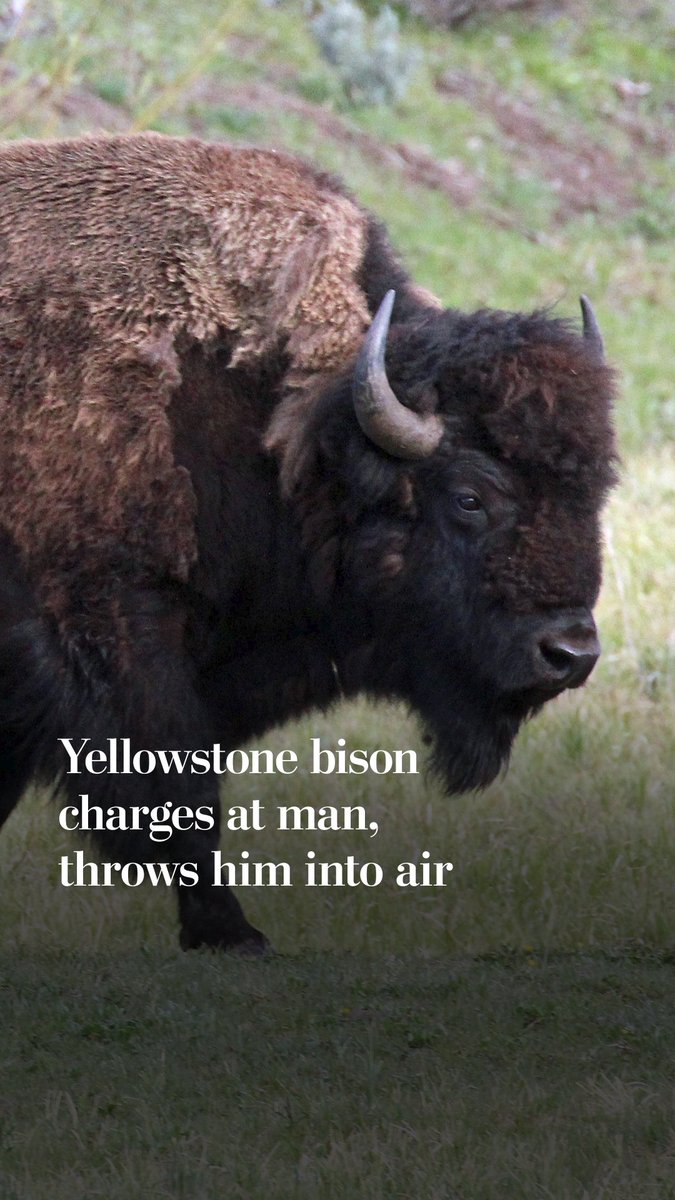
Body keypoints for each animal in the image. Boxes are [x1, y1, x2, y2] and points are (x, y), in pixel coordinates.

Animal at [0, 133, 617, 951]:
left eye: (596, 491)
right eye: (469, 497)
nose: (570, 653)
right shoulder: (112, 628)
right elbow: (178, 791)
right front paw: (232, 933)